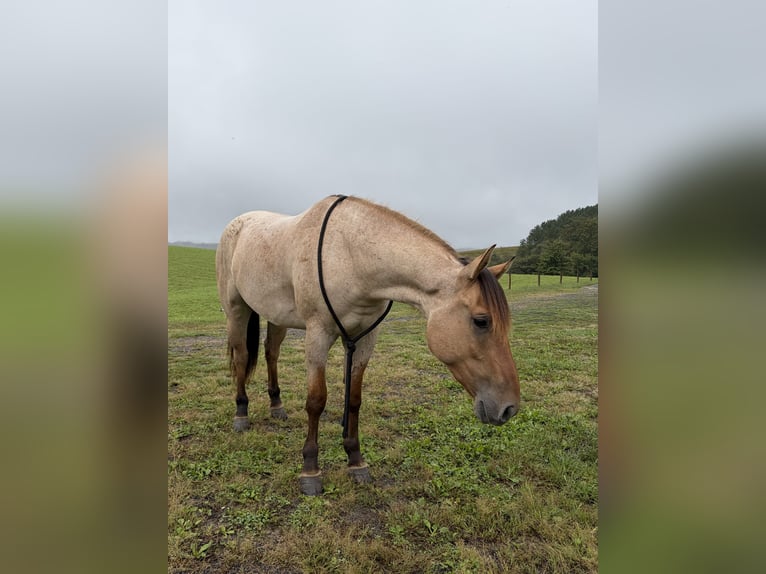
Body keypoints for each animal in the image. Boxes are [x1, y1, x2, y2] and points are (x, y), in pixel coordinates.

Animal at [216, 195, 520, 495]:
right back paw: (241, 413)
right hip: (236, 310)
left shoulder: (364, 339)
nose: (509, 408)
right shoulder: (317, 335)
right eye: (481, 321)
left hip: (277, 315)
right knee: (242, 357)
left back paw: (276, 405)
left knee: (271, 352)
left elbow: (354, 400)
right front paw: (310, 470)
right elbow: (316, 401)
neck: (350, 257)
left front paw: (355, 460)